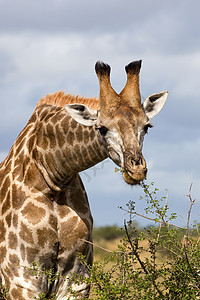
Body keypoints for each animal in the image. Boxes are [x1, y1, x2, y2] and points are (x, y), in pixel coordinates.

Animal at [0, 59, 167, 298]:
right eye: (102, 128)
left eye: (147, 126)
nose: (136, 169)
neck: (51, 179)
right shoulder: (21, 279)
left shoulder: (76, 279)